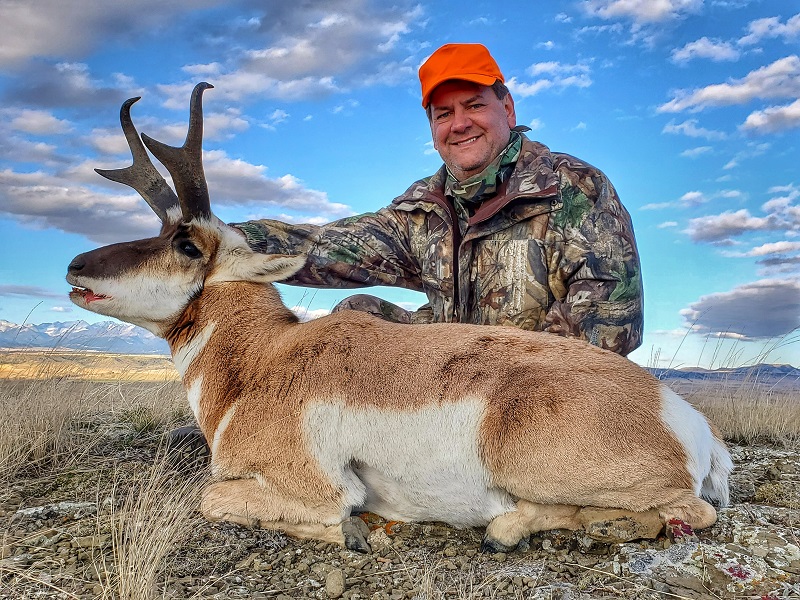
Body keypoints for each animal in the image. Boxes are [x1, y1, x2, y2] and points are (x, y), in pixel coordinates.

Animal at [67, 83, 732, 553]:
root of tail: (682, 417)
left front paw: (352, 532)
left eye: (185, 243)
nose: (75, 265)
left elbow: (215, 500)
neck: (261, 360)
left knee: (686, 513)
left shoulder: (318, 488)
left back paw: (516, 529)